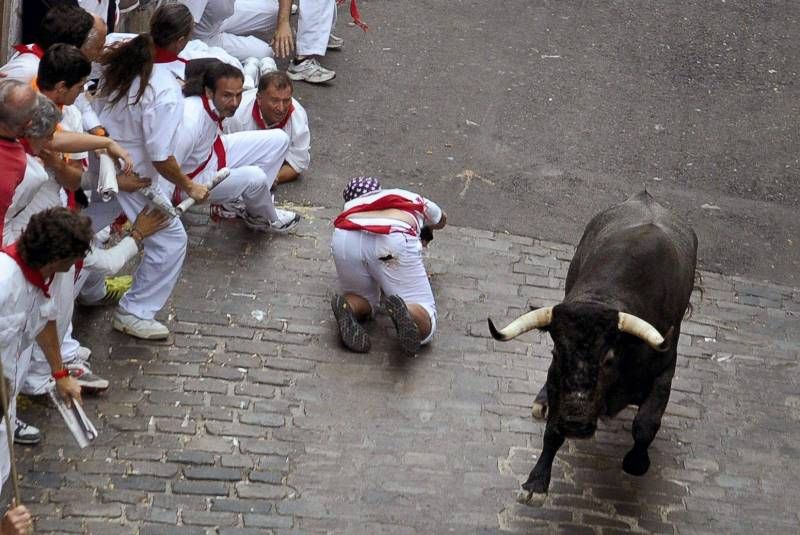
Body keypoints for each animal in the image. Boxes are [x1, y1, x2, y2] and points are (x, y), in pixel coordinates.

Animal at [484, 191, 696, 496]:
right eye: (556, 353)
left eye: (608, 358)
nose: (575, 424)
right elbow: (552, 431)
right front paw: (536, 483)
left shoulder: (665, 368)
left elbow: (646, 423)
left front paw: (636, 462)